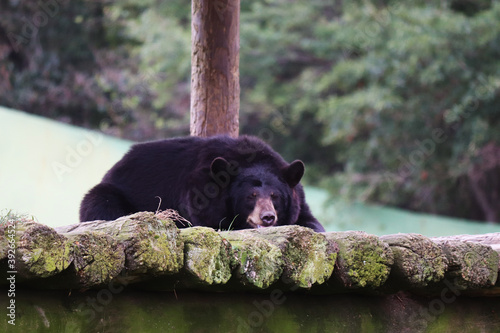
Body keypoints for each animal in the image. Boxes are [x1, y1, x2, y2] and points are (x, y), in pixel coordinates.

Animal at [79, 135, 324, 231]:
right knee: (101, 203)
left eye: (275, 196)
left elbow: (310, 221)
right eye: (250, 196)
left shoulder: (298, 198)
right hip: (111, 192)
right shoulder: (200, 192)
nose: (268, 217)